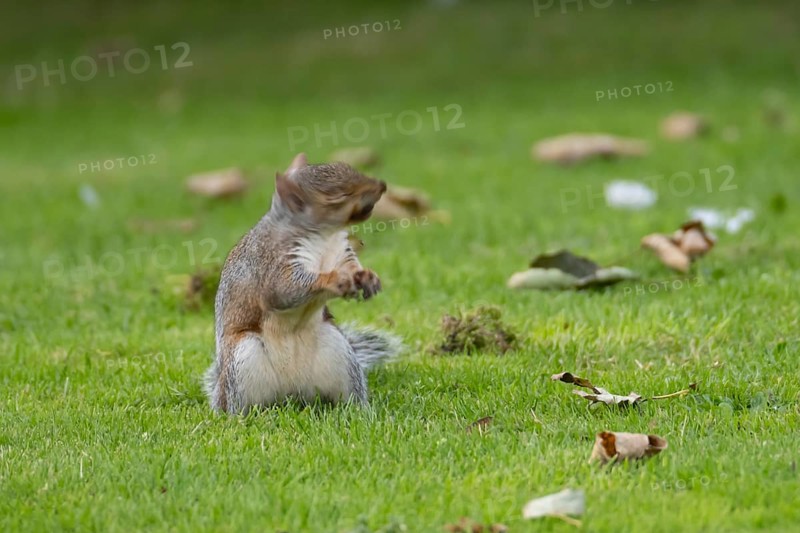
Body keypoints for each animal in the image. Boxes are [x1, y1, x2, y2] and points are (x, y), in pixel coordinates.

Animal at [204, 153, 401, 414]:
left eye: (349, 168)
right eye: (336, 195)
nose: (381, 186)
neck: (324, 235)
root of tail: (292, 393)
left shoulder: (343, 253)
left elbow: (352, 267)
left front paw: (368, 277)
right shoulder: (272, 263)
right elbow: (285, 290)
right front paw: (335, 280)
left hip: (340, 353)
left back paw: (361, 410)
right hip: (243, 358)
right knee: (242, 404)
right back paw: (241, 416)